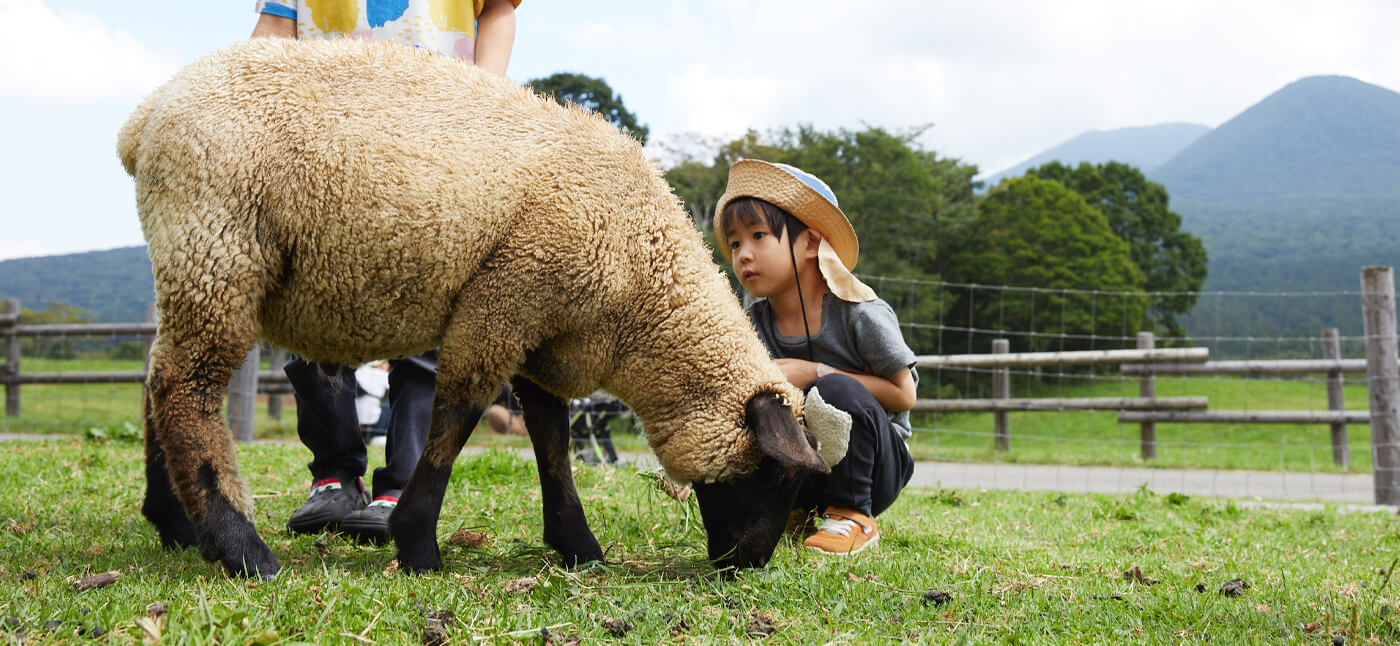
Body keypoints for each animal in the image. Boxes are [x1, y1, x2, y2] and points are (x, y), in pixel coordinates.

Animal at [117, 37, 828, 577]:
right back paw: (241, 549)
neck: (641, 294)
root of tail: (147, 115)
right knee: (185, 390)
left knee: (156, 381)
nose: (749, 565)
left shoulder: (543, 331)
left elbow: (551, 440)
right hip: (217, 245)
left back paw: (176, 525)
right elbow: (456, 419)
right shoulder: (504, 299)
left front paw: (577, 546)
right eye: (780, 477)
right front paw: (417, 546)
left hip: (191, 260)